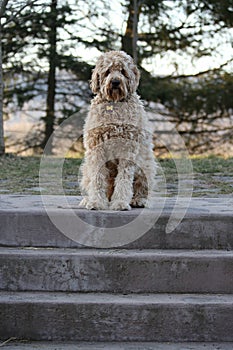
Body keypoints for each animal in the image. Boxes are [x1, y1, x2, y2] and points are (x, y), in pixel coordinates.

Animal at [80, 51, 157, 211]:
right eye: (108, 71)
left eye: (122, 71)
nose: (115, 82)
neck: (115, 104)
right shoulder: (97, 150)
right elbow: (97, 179)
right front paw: (96, 202)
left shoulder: (128, 150)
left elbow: (123, 180)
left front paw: (120, 203)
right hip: (86, 169)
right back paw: (88, 199)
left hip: (146, 166)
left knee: (142, 187)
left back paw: (138, 200)